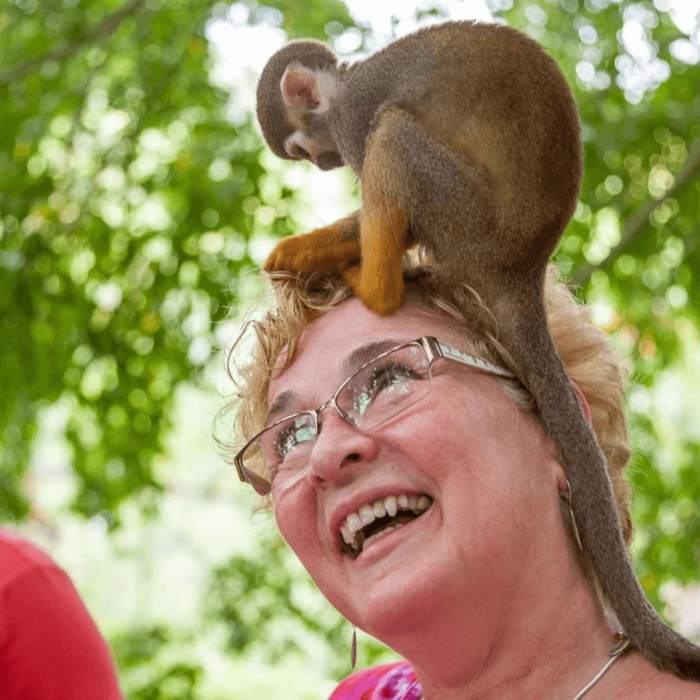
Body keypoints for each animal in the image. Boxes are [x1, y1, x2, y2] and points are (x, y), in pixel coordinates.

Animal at [255, 20, 700, 680]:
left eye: (305, 148)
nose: (325, 161)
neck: (345, 85)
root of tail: (518, 269)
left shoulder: (355, 116)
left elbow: (378, 152)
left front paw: (310, 250)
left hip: (464, 215)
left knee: (396, 132)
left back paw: (378, 284)